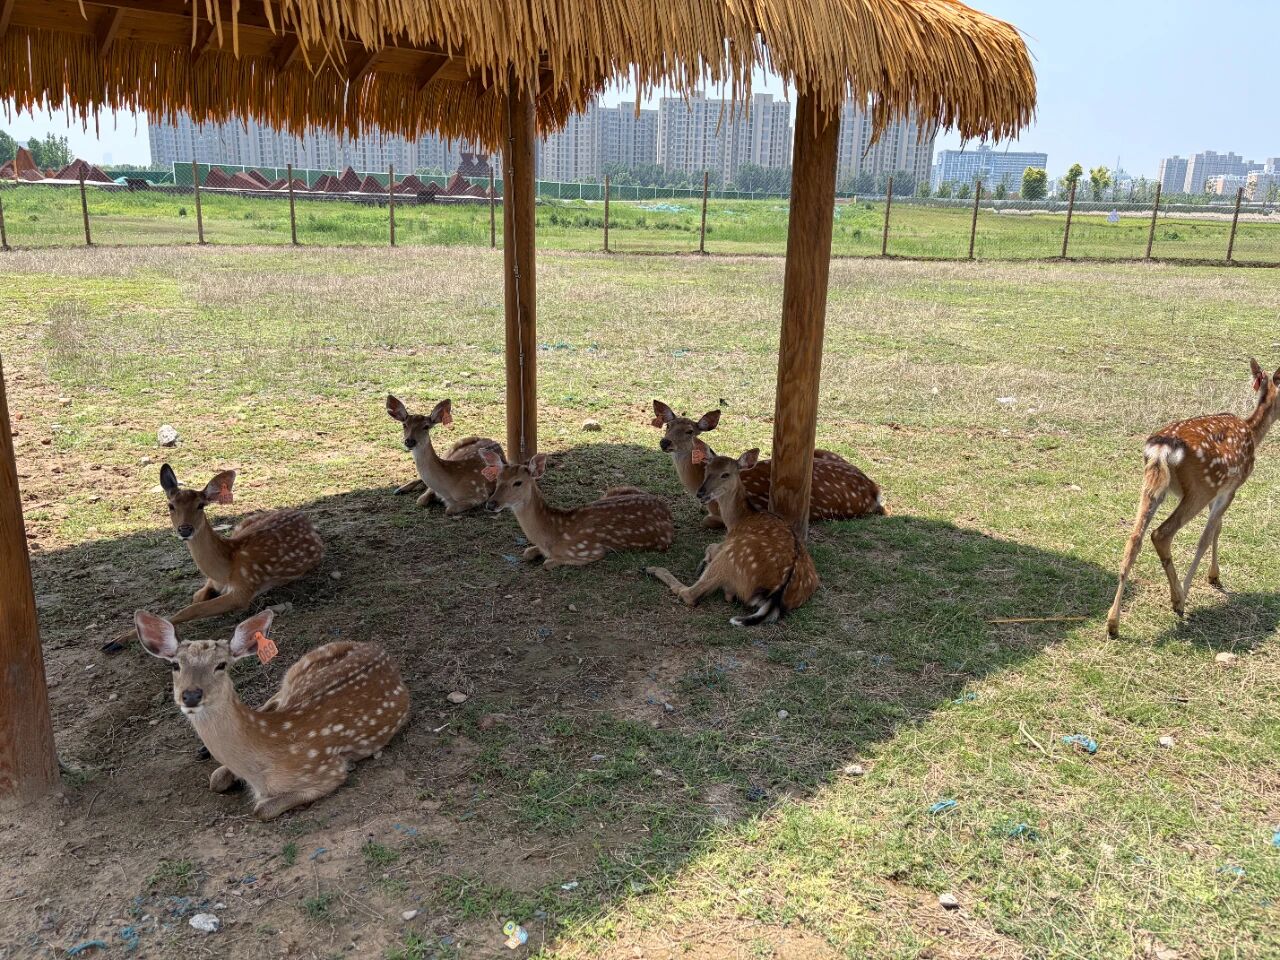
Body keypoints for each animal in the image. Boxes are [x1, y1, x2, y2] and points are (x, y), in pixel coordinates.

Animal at [134, 608, 410, 819]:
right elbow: (216, 779)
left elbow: (261, 810)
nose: (191, 695)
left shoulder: (328, 772)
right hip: (294, 672)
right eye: (175, 665)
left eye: (221, 665)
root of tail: (379, 648)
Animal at [479, 448, 675, 568]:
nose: (491, 504)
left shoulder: (589, 551)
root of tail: (666, 510)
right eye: (497, 479)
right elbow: (527, 552)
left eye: (518, 482)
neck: (552, 534)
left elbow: (548, 563)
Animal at [645, 442, 819, 626]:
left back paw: (654, 569)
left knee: (691, 594)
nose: (701, 493)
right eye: (707, 469)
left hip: (730, 558)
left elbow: (711, 546)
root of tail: (776, 597)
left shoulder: (729, 541)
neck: (738, 520)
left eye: (725, 474)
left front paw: (703, 562)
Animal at [1106, 359, 1280, 637]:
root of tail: (1162, 447)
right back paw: (1178, 598)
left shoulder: (1219, 493)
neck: (1253, 433)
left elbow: (1218, 529)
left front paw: (1214, 576)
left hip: (1154, 482)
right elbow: (1206, 537)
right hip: (1199, 488)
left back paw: (1113, 623)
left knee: (1134, 538)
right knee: (1162, 533)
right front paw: (1196, 586)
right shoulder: (1229, 488)